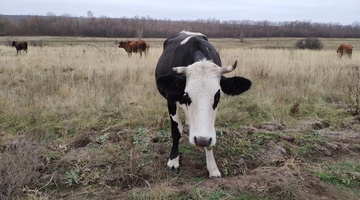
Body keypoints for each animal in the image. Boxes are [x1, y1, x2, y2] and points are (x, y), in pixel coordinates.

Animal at [156, 30, 252, 177]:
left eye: (217, 96)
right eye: (186, 94)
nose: (201, 140)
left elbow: (210, 134)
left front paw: (212, 168)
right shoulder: (171, 100)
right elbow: (176, 131)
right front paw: (173, 162)